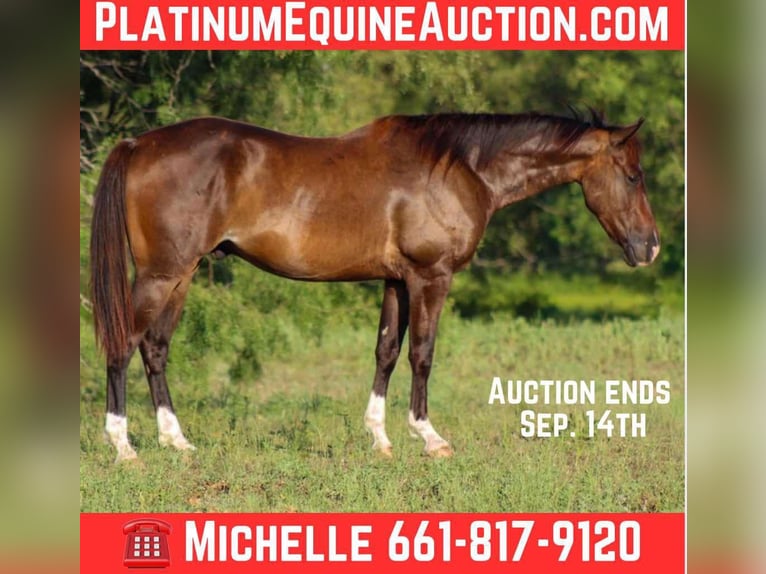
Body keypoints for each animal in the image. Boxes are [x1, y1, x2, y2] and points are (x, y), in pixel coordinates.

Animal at [90, 110, 659, 462]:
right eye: (633, 176)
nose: (650, 247)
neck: (460, 168)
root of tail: (139, 143)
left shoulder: (396, 280)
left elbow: (386, 352)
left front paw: (379, 438)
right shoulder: (430, 276)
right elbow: (422, 354)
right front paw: (429, 437)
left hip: (181, 276)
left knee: (155, 349)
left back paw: (176, 442)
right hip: (162, 275)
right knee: (122, 345)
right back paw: (123, 446)